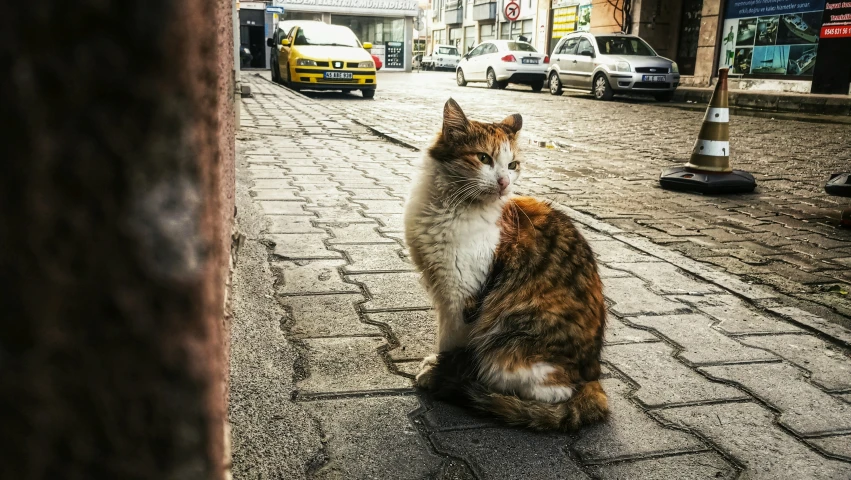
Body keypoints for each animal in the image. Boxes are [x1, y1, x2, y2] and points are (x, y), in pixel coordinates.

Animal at [404, 97, 608, 432]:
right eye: (484, 158)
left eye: (512, 166)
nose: (503, 182)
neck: (447, 208)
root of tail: (593, 377)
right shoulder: (441, 291)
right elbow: (443, 335)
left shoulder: (462, 297)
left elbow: (449, 343)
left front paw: (437, 371)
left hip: (506, 347)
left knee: (548, 391)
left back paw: (475, 386)